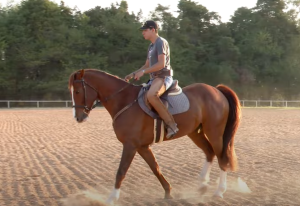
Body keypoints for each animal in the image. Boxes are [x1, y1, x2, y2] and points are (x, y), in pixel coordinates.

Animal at [68, 68, 241, 204]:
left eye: (77, 91)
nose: (78, 117)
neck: (124, 101)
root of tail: (216, 90)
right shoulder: (142, 147)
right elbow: (155, 168)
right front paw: (168, 192)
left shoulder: (130, 145)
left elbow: (121, 171)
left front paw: (111, 198)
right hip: (195, 133)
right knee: (209, 153)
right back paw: (202, 185)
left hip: (215, 133)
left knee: (222, 158)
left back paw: (219, 191)